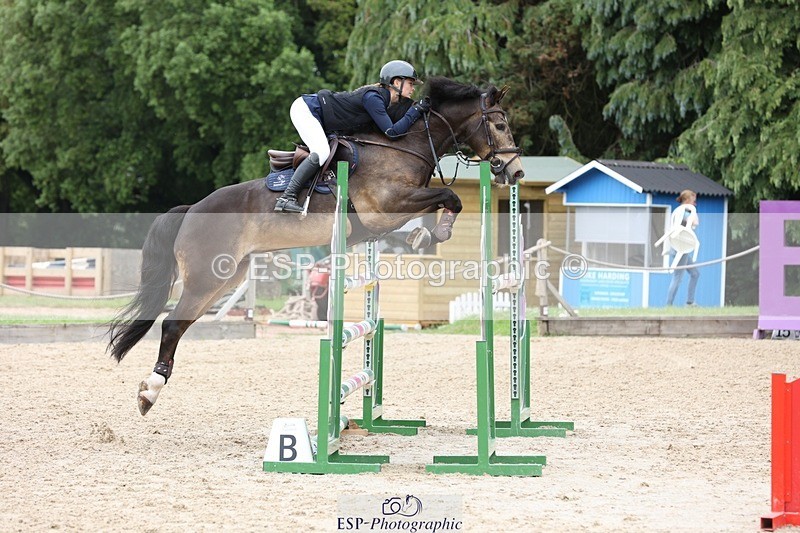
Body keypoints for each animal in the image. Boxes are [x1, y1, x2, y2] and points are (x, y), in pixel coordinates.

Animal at [107, 76, 525, 415]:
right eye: (500, 124)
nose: (516, 171)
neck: (407, 144)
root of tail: (191, 209)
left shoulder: (385, 219)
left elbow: (441, 204)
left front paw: (423, 236)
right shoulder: (387, 206)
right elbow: (449, 196)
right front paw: (431, 234)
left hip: (226, 276)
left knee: (180, 323)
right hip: (205, 278)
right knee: (171, 324)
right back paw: (149, 392)